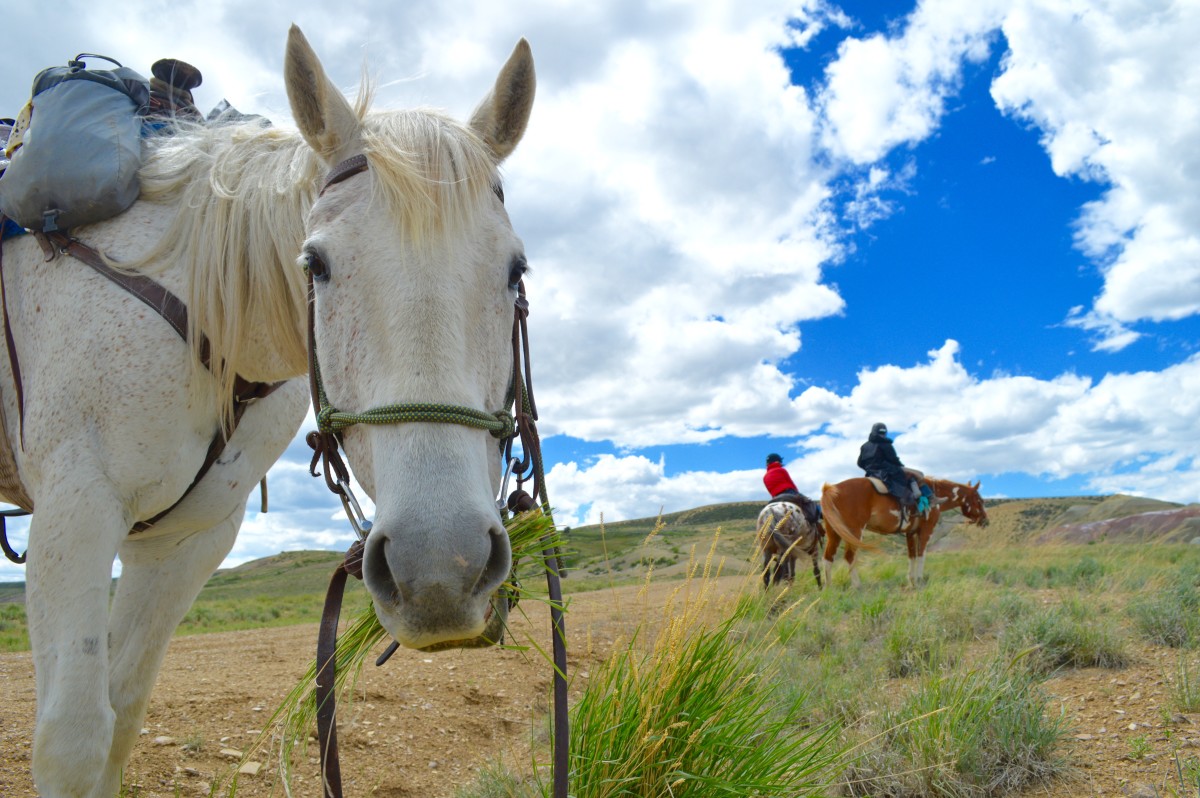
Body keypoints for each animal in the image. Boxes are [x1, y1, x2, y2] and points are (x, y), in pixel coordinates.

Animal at [0, 26, 536, 796]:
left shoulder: (184, 542)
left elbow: (120, 718)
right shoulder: (75, 510)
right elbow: (72, 741)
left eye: (515, 270)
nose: (440, 569)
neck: (201, 304)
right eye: (315, 266)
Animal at [819, 476, 988, 588]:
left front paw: (911, 581)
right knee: (849, 557)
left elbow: (911, 556)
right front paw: (919, 580)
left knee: (828, 558)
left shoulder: (910, 533)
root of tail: (830, 489)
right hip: (854, 532)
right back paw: (857, 585)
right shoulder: (926, 531)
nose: (986, 521)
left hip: (834, 534)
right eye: (979, 501)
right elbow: (921, 555)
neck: (936, 493)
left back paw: (828, 587)